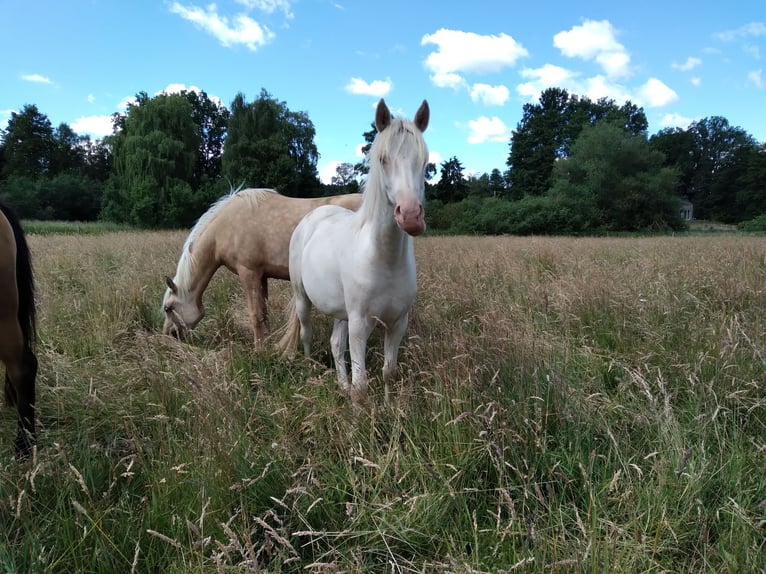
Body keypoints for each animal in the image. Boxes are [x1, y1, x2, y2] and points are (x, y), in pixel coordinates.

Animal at [161, 191, 364, 348]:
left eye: (168, 308)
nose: (169, 335)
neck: (225, 226)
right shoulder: (261, 276)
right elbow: (264, 314)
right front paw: (267, 346)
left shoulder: (248, 272)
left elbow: (255, 315)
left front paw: (259, 352)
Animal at [280, 100, 432, 404]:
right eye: (383, 159)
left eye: (424, 161)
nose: (410, 216)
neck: (384, 260)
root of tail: (312, 218)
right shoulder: (360, 324)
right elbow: (362, 384)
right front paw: (359, 412)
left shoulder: (396, 323)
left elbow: (388, 372)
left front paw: (388, 407)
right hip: (303, 299)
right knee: (306, 334)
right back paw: (311, 370)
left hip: (342, 314)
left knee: (336, 345)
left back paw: (341, 385)